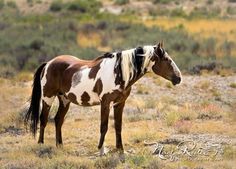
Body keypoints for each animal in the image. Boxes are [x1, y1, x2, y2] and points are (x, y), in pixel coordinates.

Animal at [24, 42, 182, 154]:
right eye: (167, 59)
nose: (178, 78)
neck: (118, 72)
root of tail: (48, 63)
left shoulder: (120, 103)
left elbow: (118, 126)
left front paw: (120, 149)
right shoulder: (105, 103)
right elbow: (104, 126)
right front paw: (101, 149)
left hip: (65, 100)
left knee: (58, 120)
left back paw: (60, 146)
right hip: (48, 98)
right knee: (44, 119)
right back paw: (41, 144)